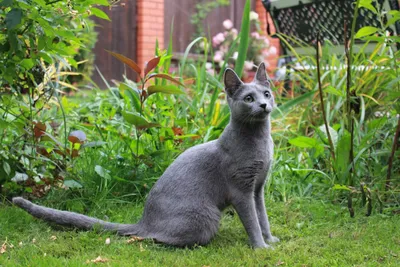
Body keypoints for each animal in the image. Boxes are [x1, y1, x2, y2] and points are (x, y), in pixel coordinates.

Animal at [12, 62, 278, 249]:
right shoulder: (241, 189)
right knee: (155, 238)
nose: (264, 105)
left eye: (266, 93)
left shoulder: (258, 187)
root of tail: (144, 221)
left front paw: (270, 239)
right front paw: (260, 247)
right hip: (207, 216)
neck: (260, 141)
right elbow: (252, 221)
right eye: (249, 98)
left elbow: (262, 217)